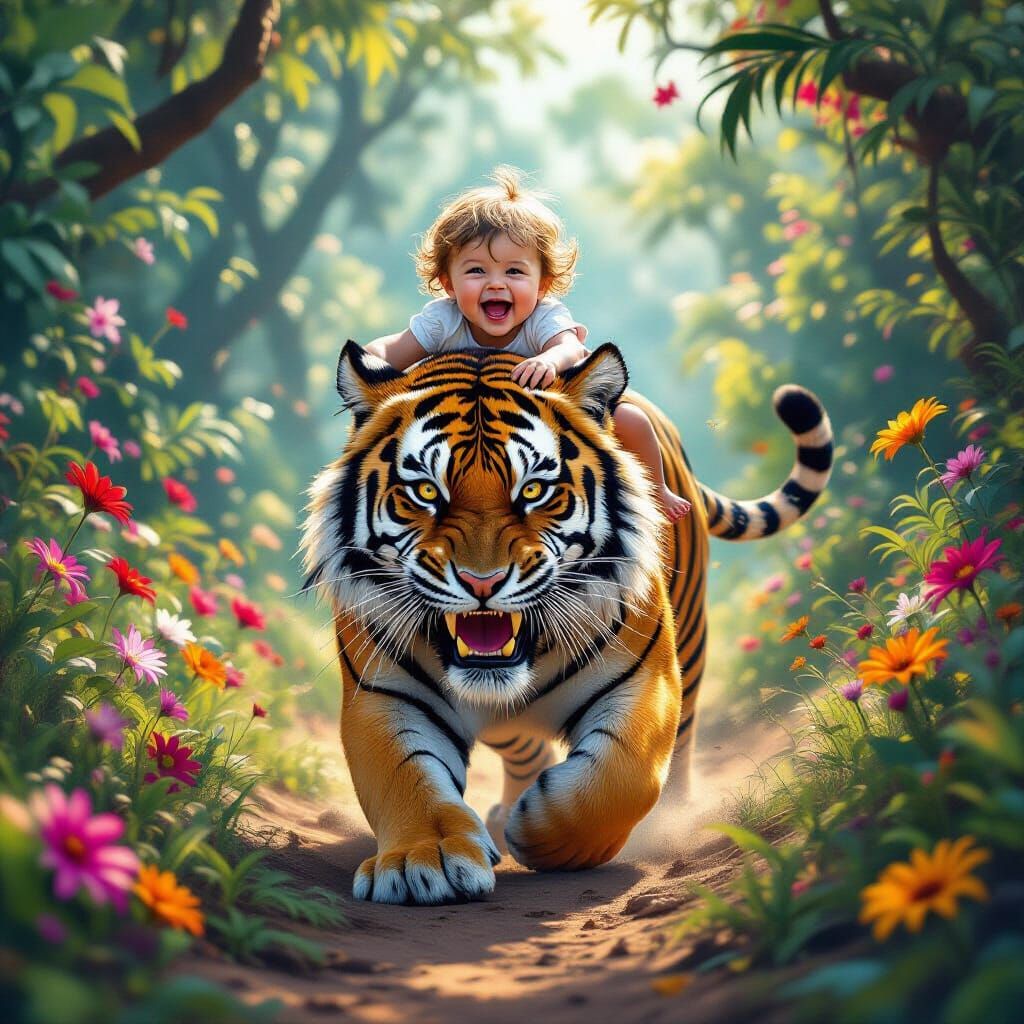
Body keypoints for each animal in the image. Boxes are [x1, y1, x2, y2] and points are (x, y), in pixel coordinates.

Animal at [301, 341, 833, 905]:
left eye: (535, 490)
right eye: (425, 492)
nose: (482, 581)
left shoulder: (645, 681)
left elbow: (622, 776)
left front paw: (548, 838)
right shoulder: (384, 694)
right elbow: (404, 777)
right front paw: (423, 860)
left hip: (691, 643)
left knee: (681, 748)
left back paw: (666, 818)